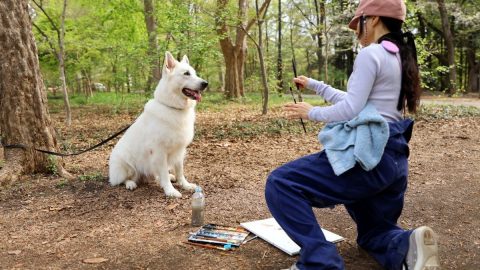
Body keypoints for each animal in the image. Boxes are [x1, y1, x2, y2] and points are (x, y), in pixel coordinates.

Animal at [109, 51, 208, 197]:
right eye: (186, 73)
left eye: (195, 73)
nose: (205, 83)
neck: (173, 108)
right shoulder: (159, 152)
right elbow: (164, 174)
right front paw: (170, 191)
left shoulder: (180, 150)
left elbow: (180, 171)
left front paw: (184, 185)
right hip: (126, 164)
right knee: (124, 180)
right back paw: (130, 184)